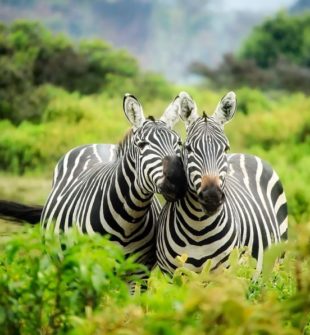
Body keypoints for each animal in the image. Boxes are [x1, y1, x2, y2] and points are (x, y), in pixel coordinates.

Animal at [0, 94, 186, 270]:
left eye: (179, 143)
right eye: (141, 145)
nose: (177, 180)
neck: (129, 220)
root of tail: (98, 144)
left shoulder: (139, 271)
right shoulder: (92, 265)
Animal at [156, 90, 290, 274]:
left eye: (225, 148)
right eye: (188, 148)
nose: (212, 197)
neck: (198, 229)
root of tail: (246, 154)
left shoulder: (224, 273)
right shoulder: (171, 274)